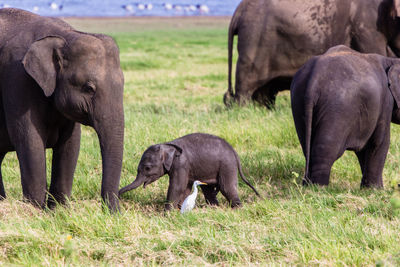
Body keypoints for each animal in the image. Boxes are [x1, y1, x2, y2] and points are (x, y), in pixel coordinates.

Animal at [0, 8, 124, 213]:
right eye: (88, 88)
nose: (115, 213)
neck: (65, 36)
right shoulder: (17, 79)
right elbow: (30, 142)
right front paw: (36, 211)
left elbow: (70, 145)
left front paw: (59, 211)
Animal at [119, 133, 260, 210]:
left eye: (147, 168)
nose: (119, 195)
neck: (168, 145)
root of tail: (234, 151)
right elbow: (185, 188)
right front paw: (179, 209)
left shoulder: (181, 164)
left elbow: (177, 187)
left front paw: (167, 214)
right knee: (208, 190)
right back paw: (214, 208)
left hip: (227, 166)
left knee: (227, 187)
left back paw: (237, 209)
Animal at [290, 45, 400, 188]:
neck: (390, 60)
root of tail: (314, 78)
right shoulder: (385, 102)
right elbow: (379, 142)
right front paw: (376, 190)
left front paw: (366, 189)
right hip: (338, 106)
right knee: (327, 148)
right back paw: (320, 187)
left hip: (298, 100)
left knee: (306, 145)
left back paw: (308, 184)